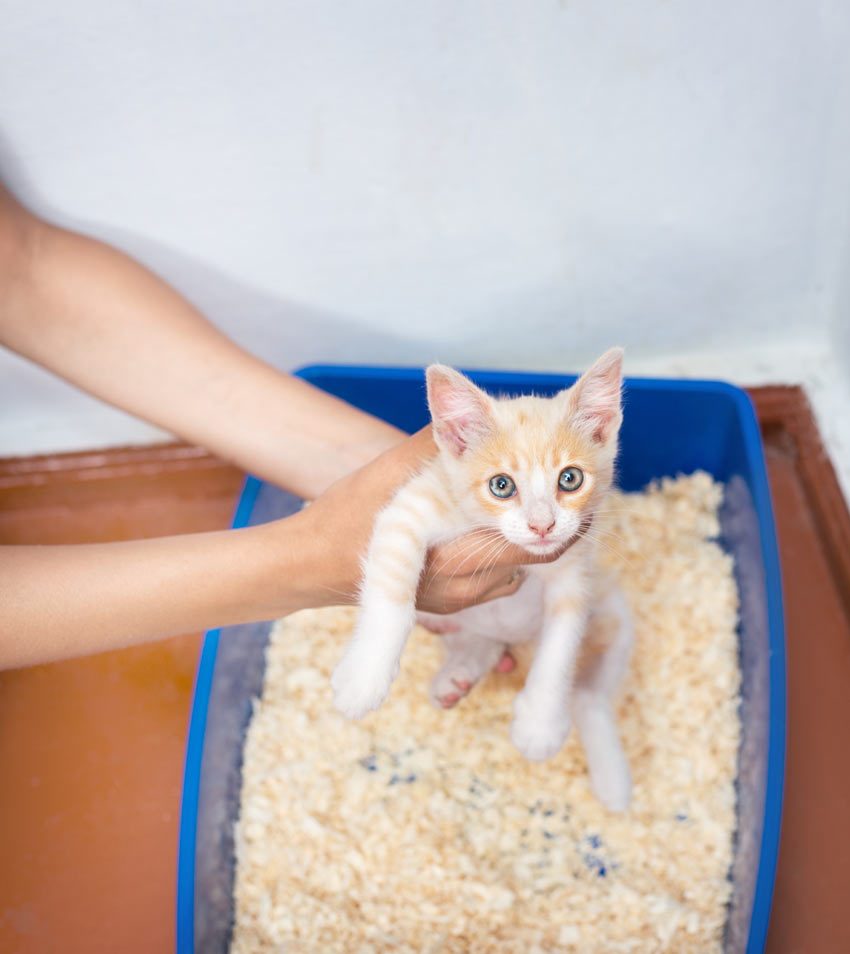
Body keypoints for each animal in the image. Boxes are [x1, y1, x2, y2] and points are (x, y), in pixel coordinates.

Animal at [330, 346, 628, 808]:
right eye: (501, 486)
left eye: (570, 478)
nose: (542, 525)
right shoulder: (411, 507)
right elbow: (392, 596)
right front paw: (364, 678)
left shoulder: (574, 567)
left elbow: (561, 646)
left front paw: (540, 724)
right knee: (476, 639)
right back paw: (457, 673)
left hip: (612, 616)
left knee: (588, 697)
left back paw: (612, 784)